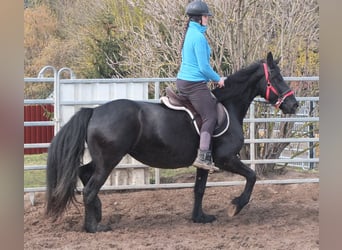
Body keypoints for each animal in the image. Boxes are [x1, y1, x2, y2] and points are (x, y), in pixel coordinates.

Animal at [46, 51, 298, 233]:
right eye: (276, 78)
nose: (293, 104)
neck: (228, 107)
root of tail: (94, 111)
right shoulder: (226, 159)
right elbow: (252, 176)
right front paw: (236, 205)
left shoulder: (204, 163)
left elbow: (199, 189)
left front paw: (200, 217)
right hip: (109, 161)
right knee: (89, 188)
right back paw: (93, 227)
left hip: (102, 160)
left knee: (84, 173)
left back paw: (96, 214)